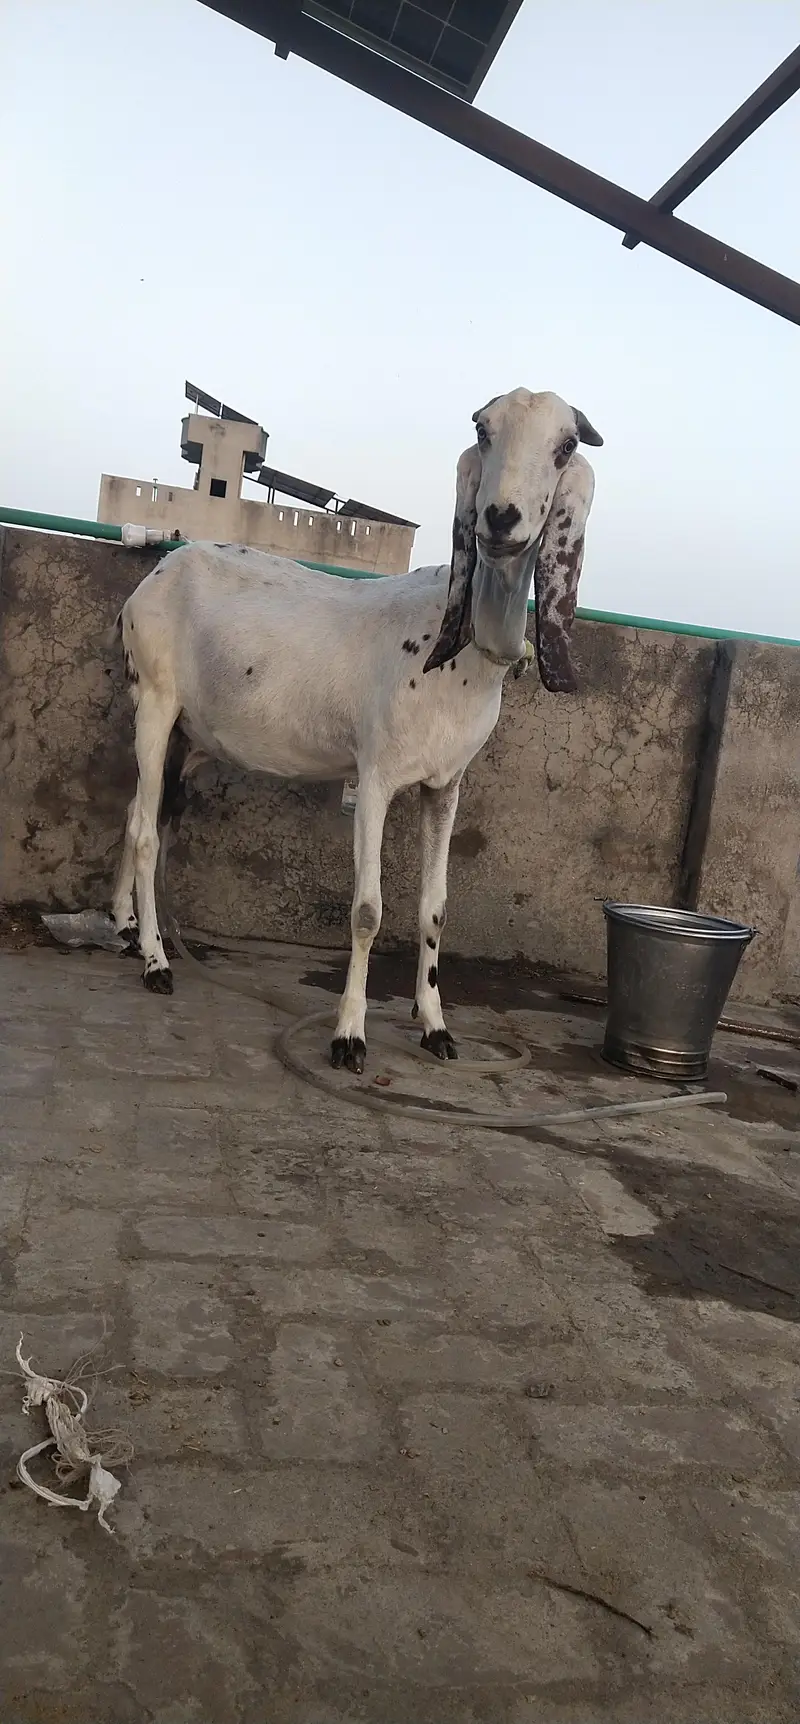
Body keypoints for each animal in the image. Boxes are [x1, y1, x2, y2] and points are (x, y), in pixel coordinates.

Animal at [110, 388, 602, 1072]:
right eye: (483, 430)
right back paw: (156, 960)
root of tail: (153, 578)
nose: (501, 518)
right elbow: (368, 911)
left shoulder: (445, 786)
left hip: (185, 734)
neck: (454, 650)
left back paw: (126, 929)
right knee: (145, 833)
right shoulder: (375, 777)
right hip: (155, 700)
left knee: (137, 812)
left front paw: (435, 1026)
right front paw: (348, 1035)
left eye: (565, 446)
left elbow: (435, 910)